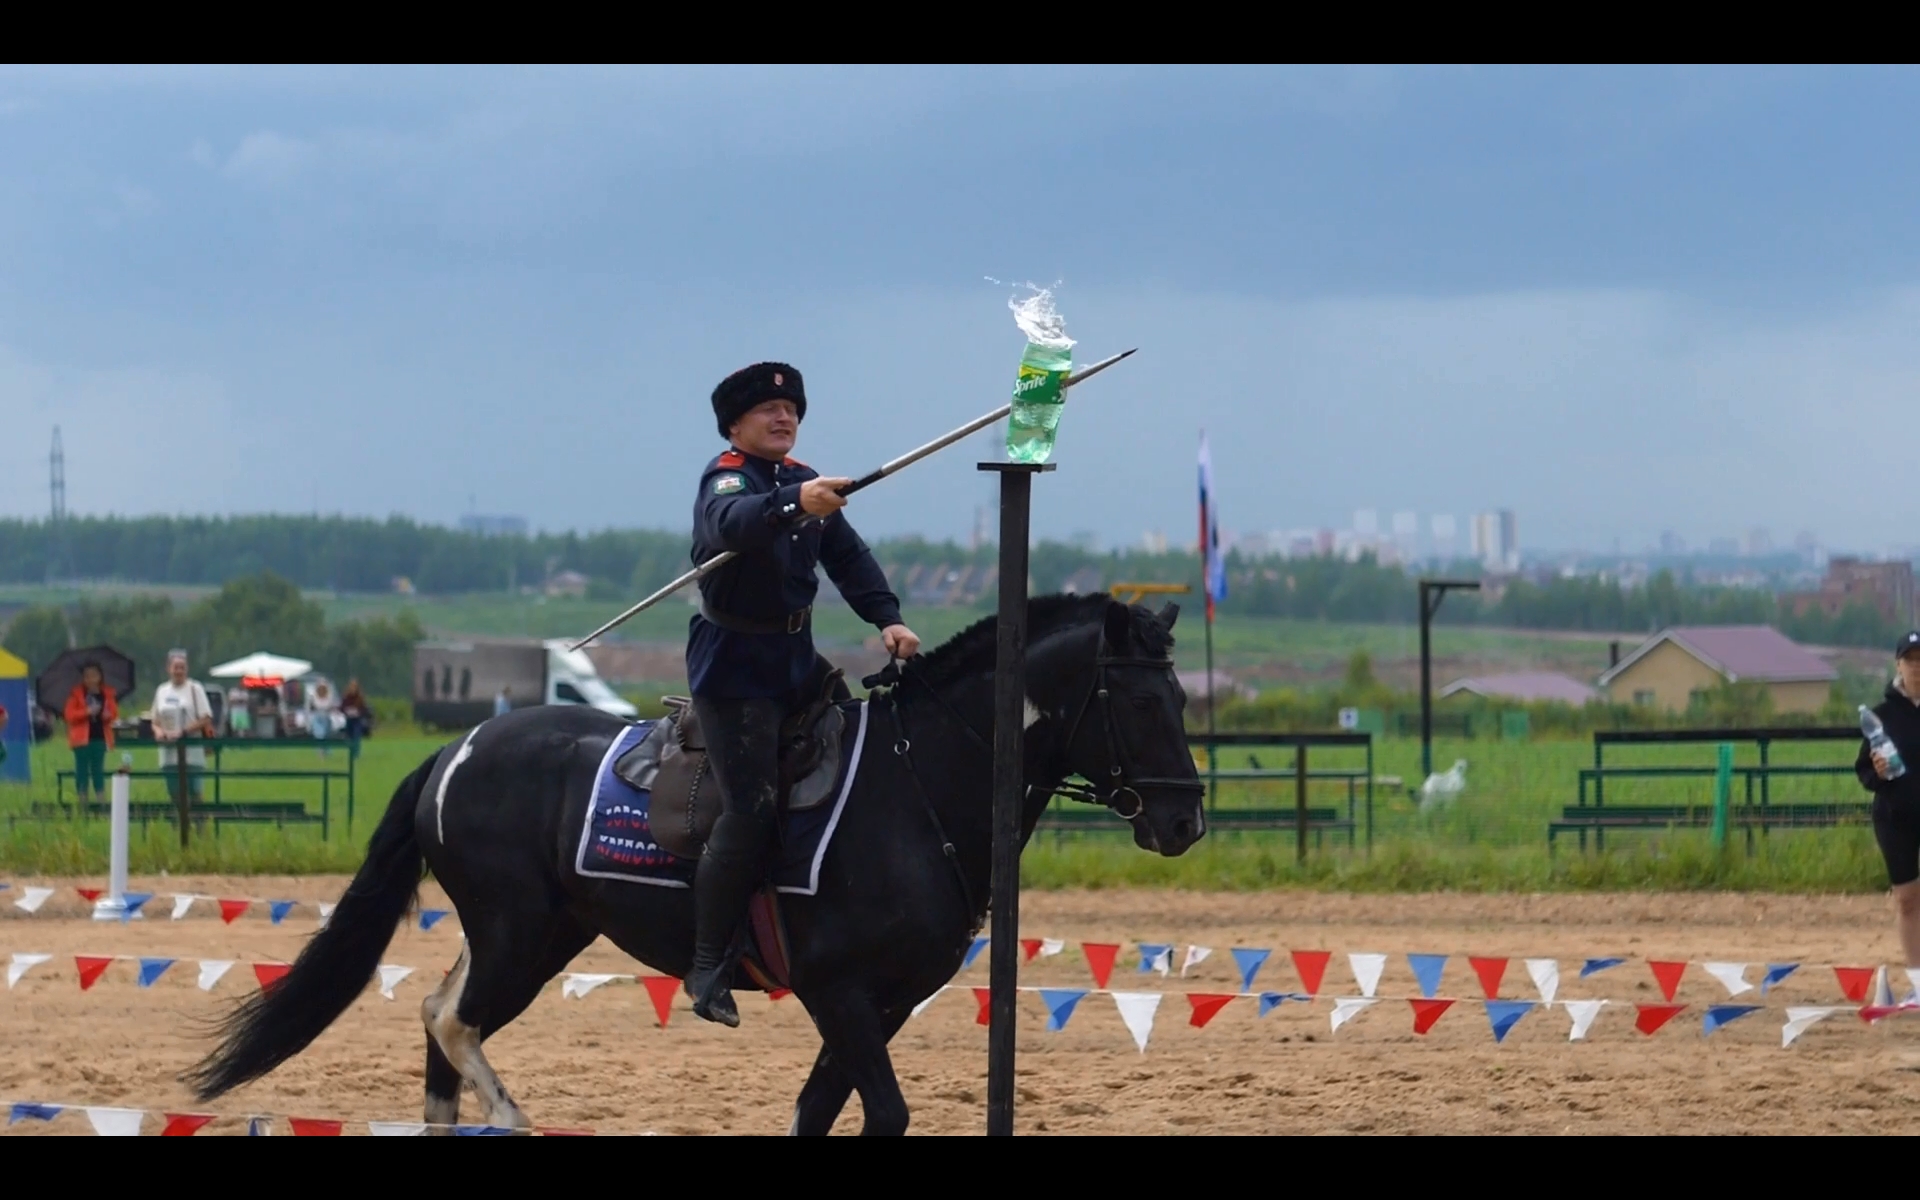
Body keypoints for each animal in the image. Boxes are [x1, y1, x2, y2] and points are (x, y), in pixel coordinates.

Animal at [180, 595, 1198, 1128]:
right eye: (1144, 703)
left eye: (1183, 698)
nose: (1184, 819)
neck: (917, 786)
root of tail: (455, 750)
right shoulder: (842, 994)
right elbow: (883, 1112)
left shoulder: (885, 1004)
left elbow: (817, 1111)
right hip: (520, 936)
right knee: (452, 1021)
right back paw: (512, 1116)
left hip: (534, 933)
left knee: (437, 1016)